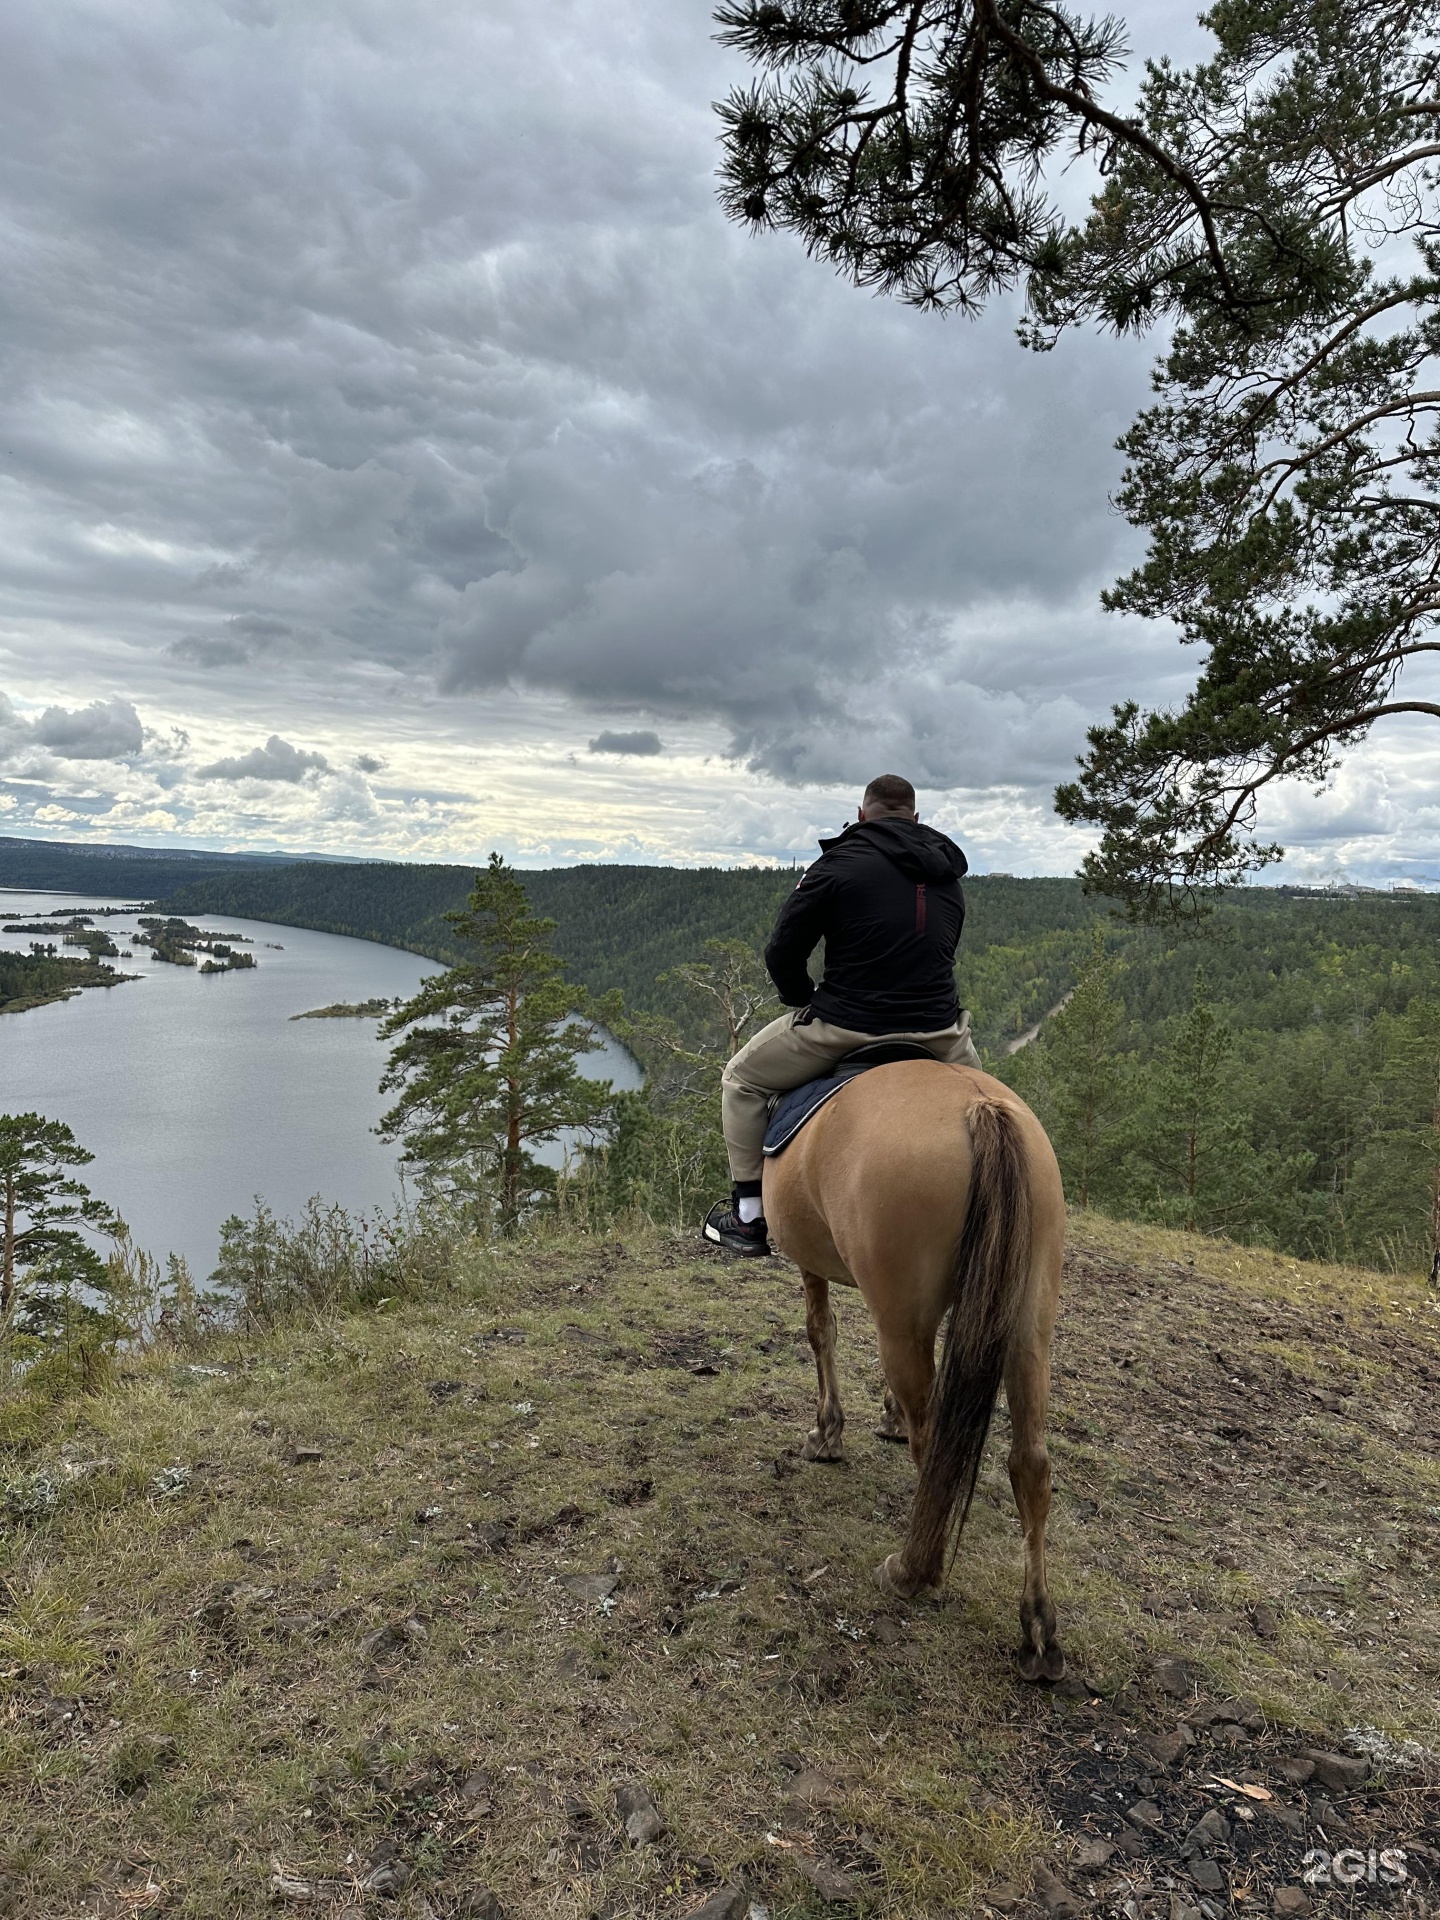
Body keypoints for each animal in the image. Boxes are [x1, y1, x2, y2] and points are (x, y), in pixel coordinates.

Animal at [768, 1067, 1075, 1681]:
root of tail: (981, 1108)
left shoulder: (814, 1263)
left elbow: (820, 1330)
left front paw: (827, 1434)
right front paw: (887, 1418)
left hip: (904, 1317)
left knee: (936, 1447)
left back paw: (912, 1571)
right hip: (1028, 1322)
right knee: (1030, 1462)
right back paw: (1037, 1631)